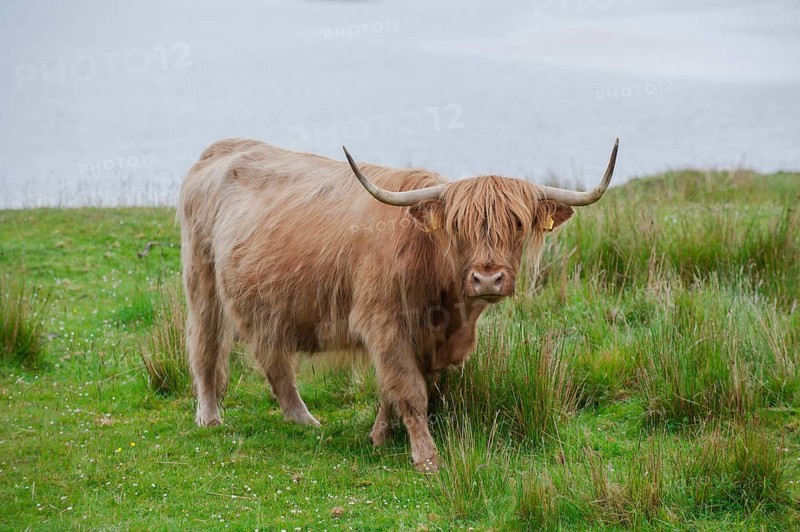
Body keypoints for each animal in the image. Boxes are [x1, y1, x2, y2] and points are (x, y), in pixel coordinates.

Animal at [178, 138, 618, 471]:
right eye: (458, 226)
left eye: (518, 223)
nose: (488, 278)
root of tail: (222, 148)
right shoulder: (384, 324)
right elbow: (410, 391)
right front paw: (425, 457)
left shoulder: (434, 343)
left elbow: (405, 387)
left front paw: (378, 435)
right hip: (202, 283)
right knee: (205, 349)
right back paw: (210, 417)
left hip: (267, 304)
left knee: (274, 359)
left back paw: (303, 419)